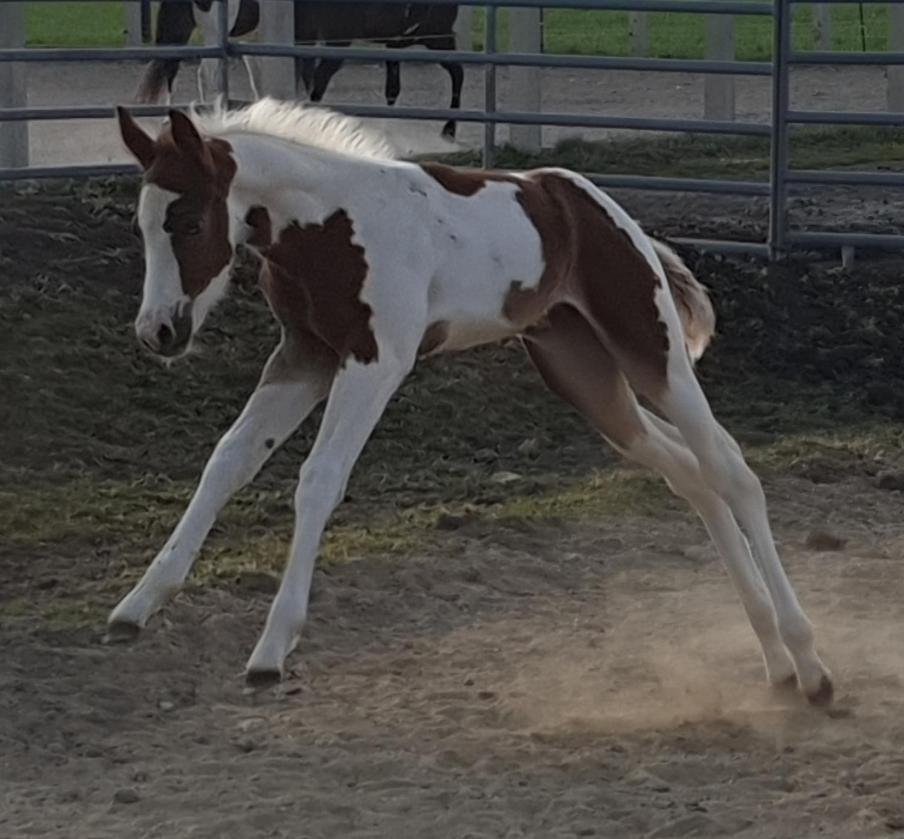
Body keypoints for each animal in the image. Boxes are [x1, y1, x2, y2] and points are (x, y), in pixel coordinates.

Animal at [107, 97, 832, 704]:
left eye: (189, 221)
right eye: (142, 226)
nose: (158, 331)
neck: (328, 226)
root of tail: (605, 211)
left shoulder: (376, 362)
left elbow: (318, 479)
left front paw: (271, 647)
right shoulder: (303, 358)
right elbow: (228, 461)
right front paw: (137, 605)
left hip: (651, 352)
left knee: (732, 471)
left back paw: (811, 666)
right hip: (584, 376)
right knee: (690, 473)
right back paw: (773, 657)